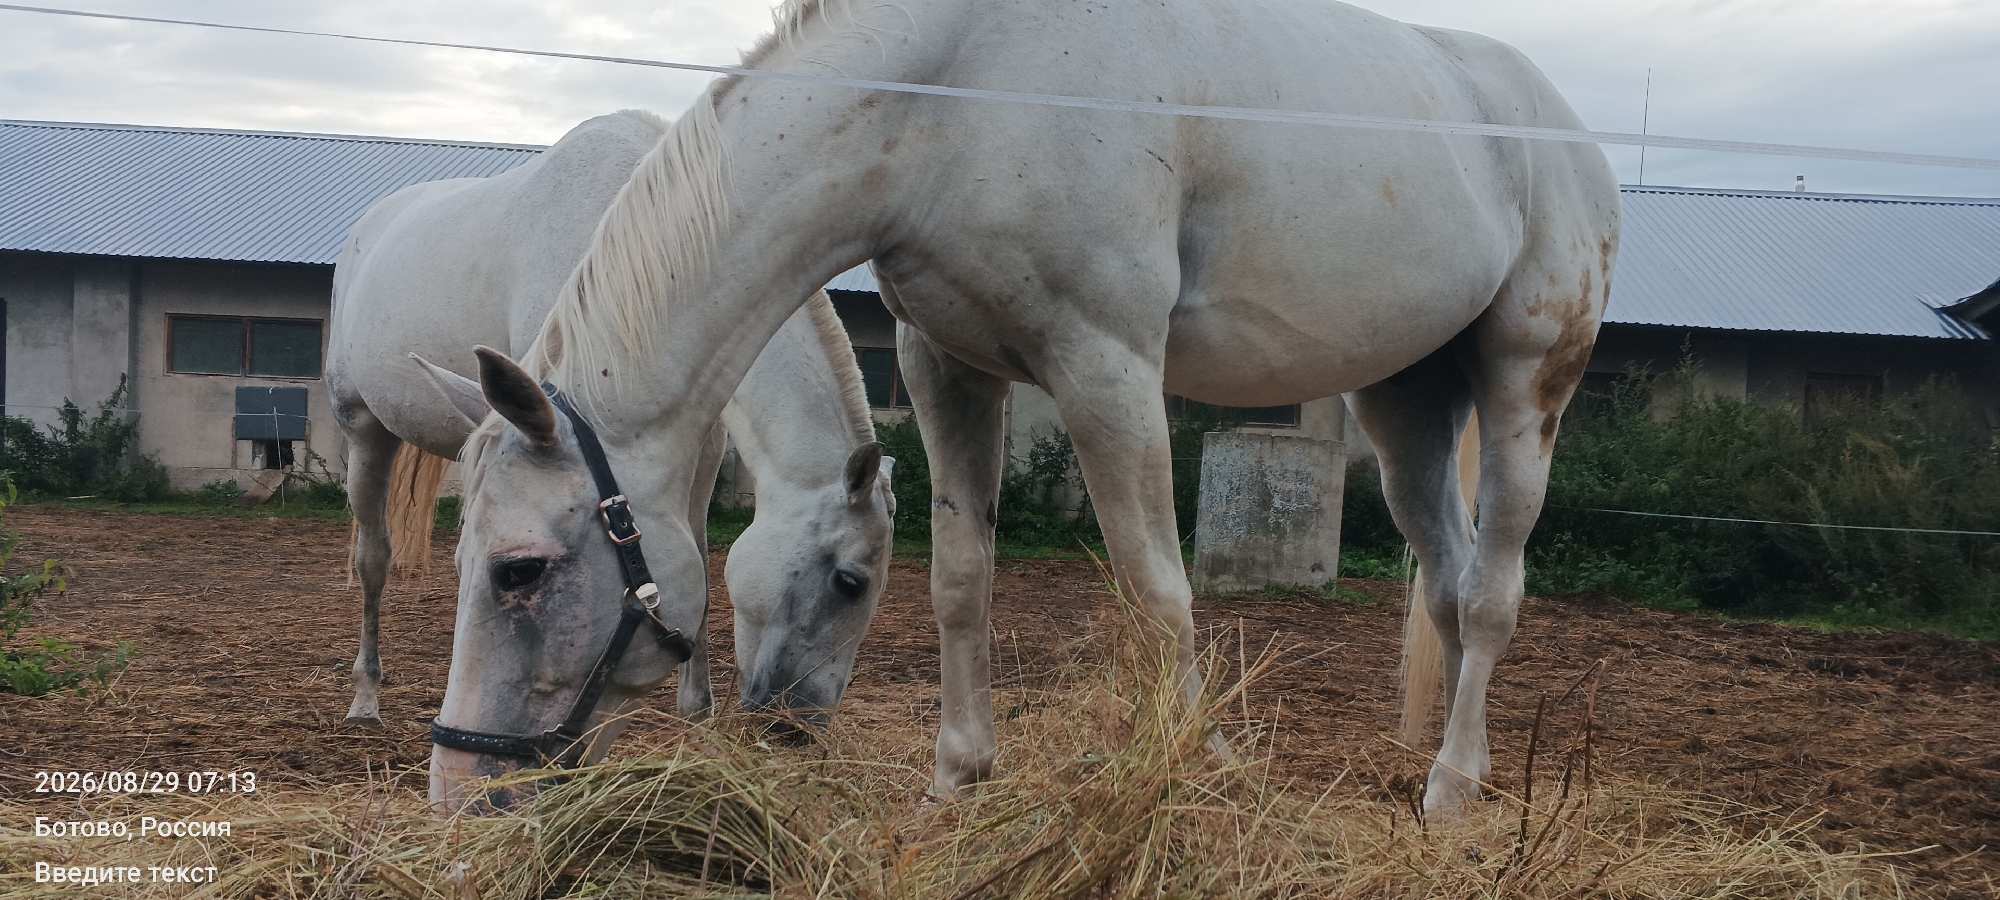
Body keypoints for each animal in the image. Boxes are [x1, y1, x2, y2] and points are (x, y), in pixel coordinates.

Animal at [325, 111, 897, 775]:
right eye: (850, 583)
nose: (797, 726)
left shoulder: (692, 448)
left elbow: (699, 564)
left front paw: (694, 710)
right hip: (363, 428)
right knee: (373, 557)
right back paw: (365, 698)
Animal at [437, 0, 1619, 814]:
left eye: (519, 572)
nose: (461, 793)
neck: (960, 91)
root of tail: (1567, 131)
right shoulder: (950, 368)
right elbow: (963, 581)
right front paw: (957, 778)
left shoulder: (1107, 369)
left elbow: (1160, 592)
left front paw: (1197, 771)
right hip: (1405, 407)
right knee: (1449, 585)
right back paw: (1447, 769)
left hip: (1526, 385)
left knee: (1492, 594)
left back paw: (1452, 788)